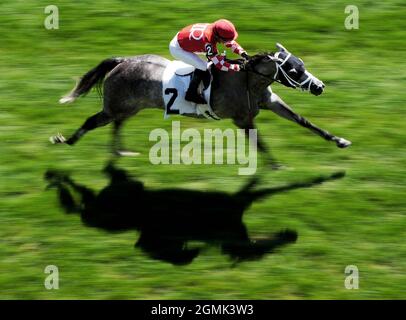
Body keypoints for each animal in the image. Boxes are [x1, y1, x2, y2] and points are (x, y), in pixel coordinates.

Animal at [51, 43, 352, 165]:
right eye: (293, 69)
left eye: (302, 65)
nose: (319, 87)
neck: (247, 79)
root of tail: (122, 61)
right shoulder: (242, 119)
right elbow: (260, 143)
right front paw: (275, 167)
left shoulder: (271, 103)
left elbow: (304, 121)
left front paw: (340, 140)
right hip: (114, 107)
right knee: (93, 121)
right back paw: (65, 140)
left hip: (129, 107)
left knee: (117, 125)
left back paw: (119, 152)